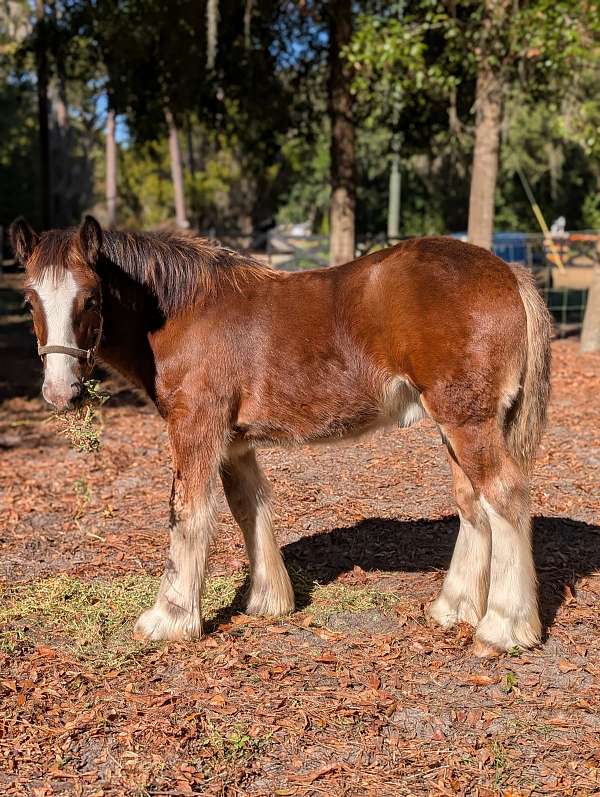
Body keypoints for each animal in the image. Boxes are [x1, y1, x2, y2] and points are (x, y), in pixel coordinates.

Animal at [10, 216, 552, 652]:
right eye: (29, 299)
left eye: (91, 297)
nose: (60, 392)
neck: (183, 312)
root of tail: (509, 273)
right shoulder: (234, 442)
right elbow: (248, 507)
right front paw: (269, 600)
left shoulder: (195, 429)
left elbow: (186, 513)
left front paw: (169, 619)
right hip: (457, 427)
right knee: (472, 504)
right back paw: (453, 608)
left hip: (467, 423)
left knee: (504, 497)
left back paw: (503, 628)